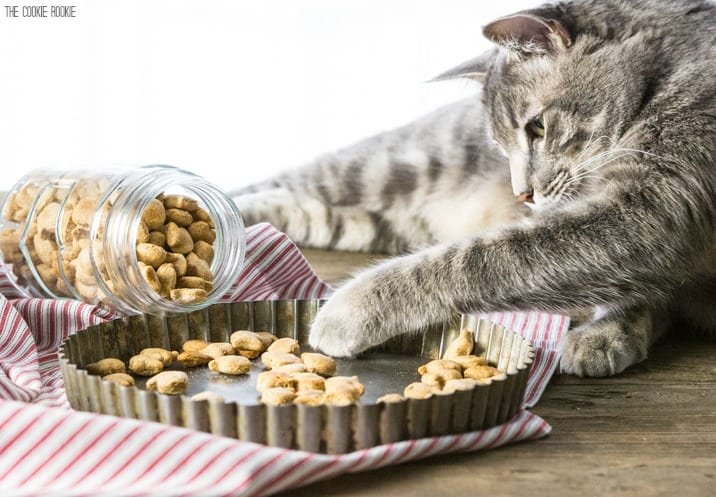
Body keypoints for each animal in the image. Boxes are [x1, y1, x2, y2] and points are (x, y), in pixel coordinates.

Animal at [232, 0, 712, 376]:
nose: (522, 195)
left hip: (384, 218)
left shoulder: (651, 209)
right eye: (500, 145)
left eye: (538, 127)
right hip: (377, 168)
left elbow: (469, 259)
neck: (665, 76)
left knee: (307, 210)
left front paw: (348, 309)